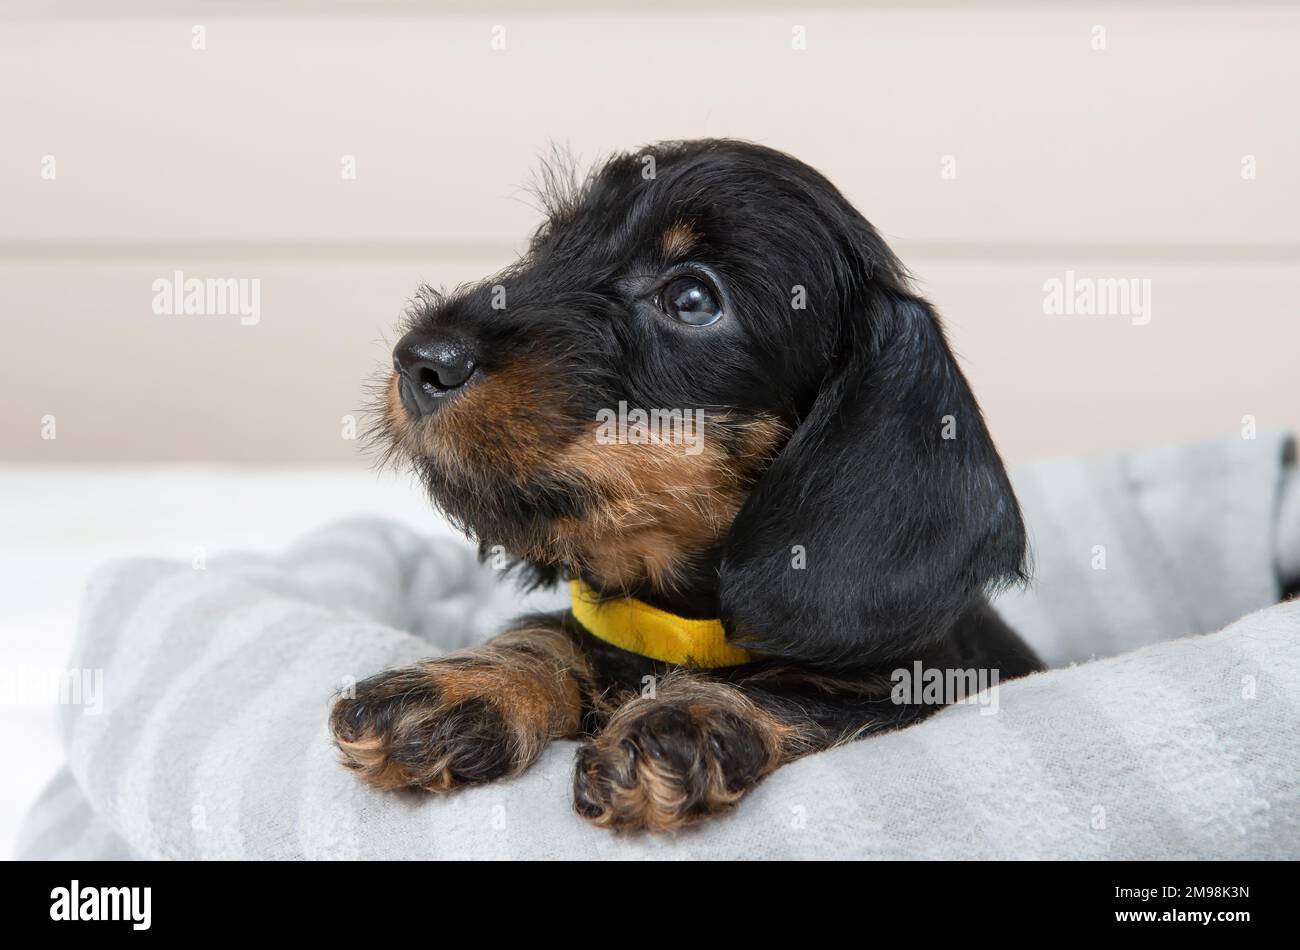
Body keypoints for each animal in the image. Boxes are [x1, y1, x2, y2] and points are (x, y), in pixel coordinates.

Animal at [332, 139, 1045, 831]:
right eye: (549, 244)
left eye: (693, 300)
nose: (421, 359)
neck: (675, 620)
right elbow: (554, 634)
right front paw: (466, 685)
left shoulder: (912, 691)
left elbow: (803, 692)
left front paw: (684, 720)